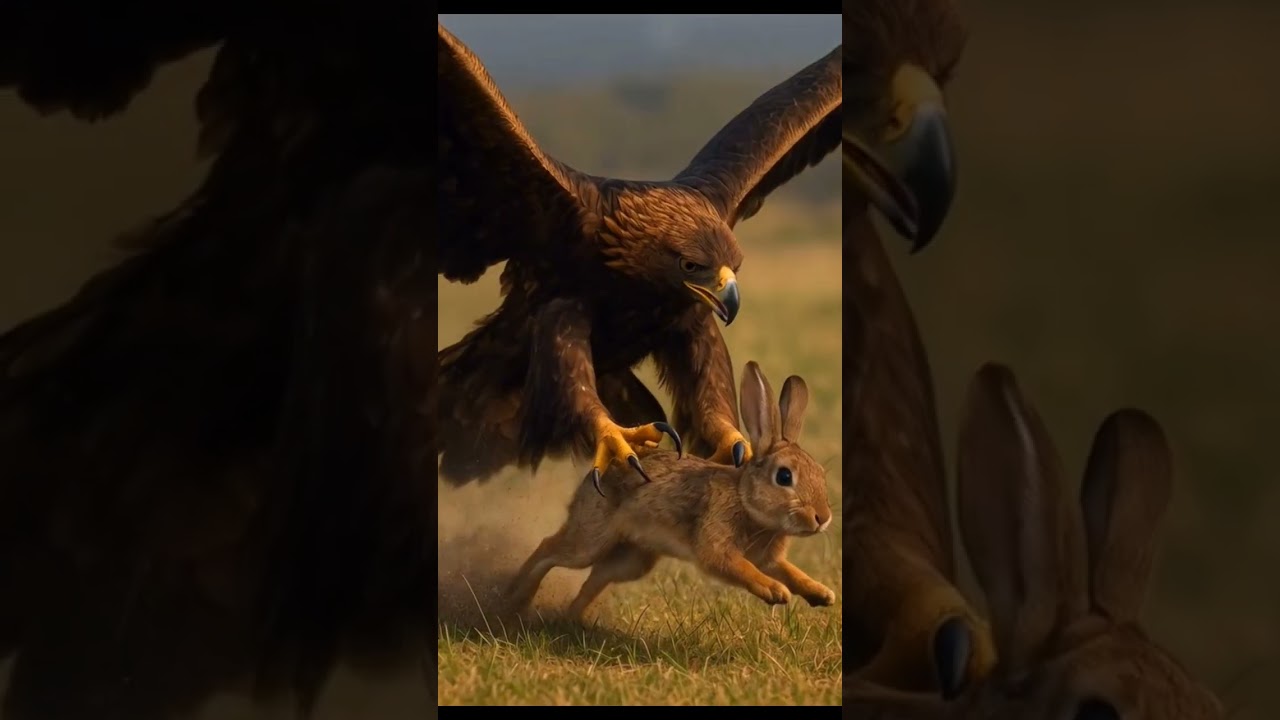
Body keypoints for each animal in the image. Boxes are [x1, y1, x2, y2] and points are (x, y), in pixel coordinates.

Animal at [504, 360, 836, 619]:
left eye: (821, 474)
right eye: (784, 476)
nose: (822, 518)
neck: (746, 501)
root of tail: (597, 474)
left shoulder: (769, 558)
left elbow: (790, 571)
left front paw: (822, 594)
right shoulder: (718, 545)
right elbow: (740, 568)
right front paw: (776, 591)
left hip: (632, 558)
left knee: (595, 578)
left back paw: (572, 619)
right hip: (590, 539)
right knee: (550, 549)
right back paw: (515, 597)